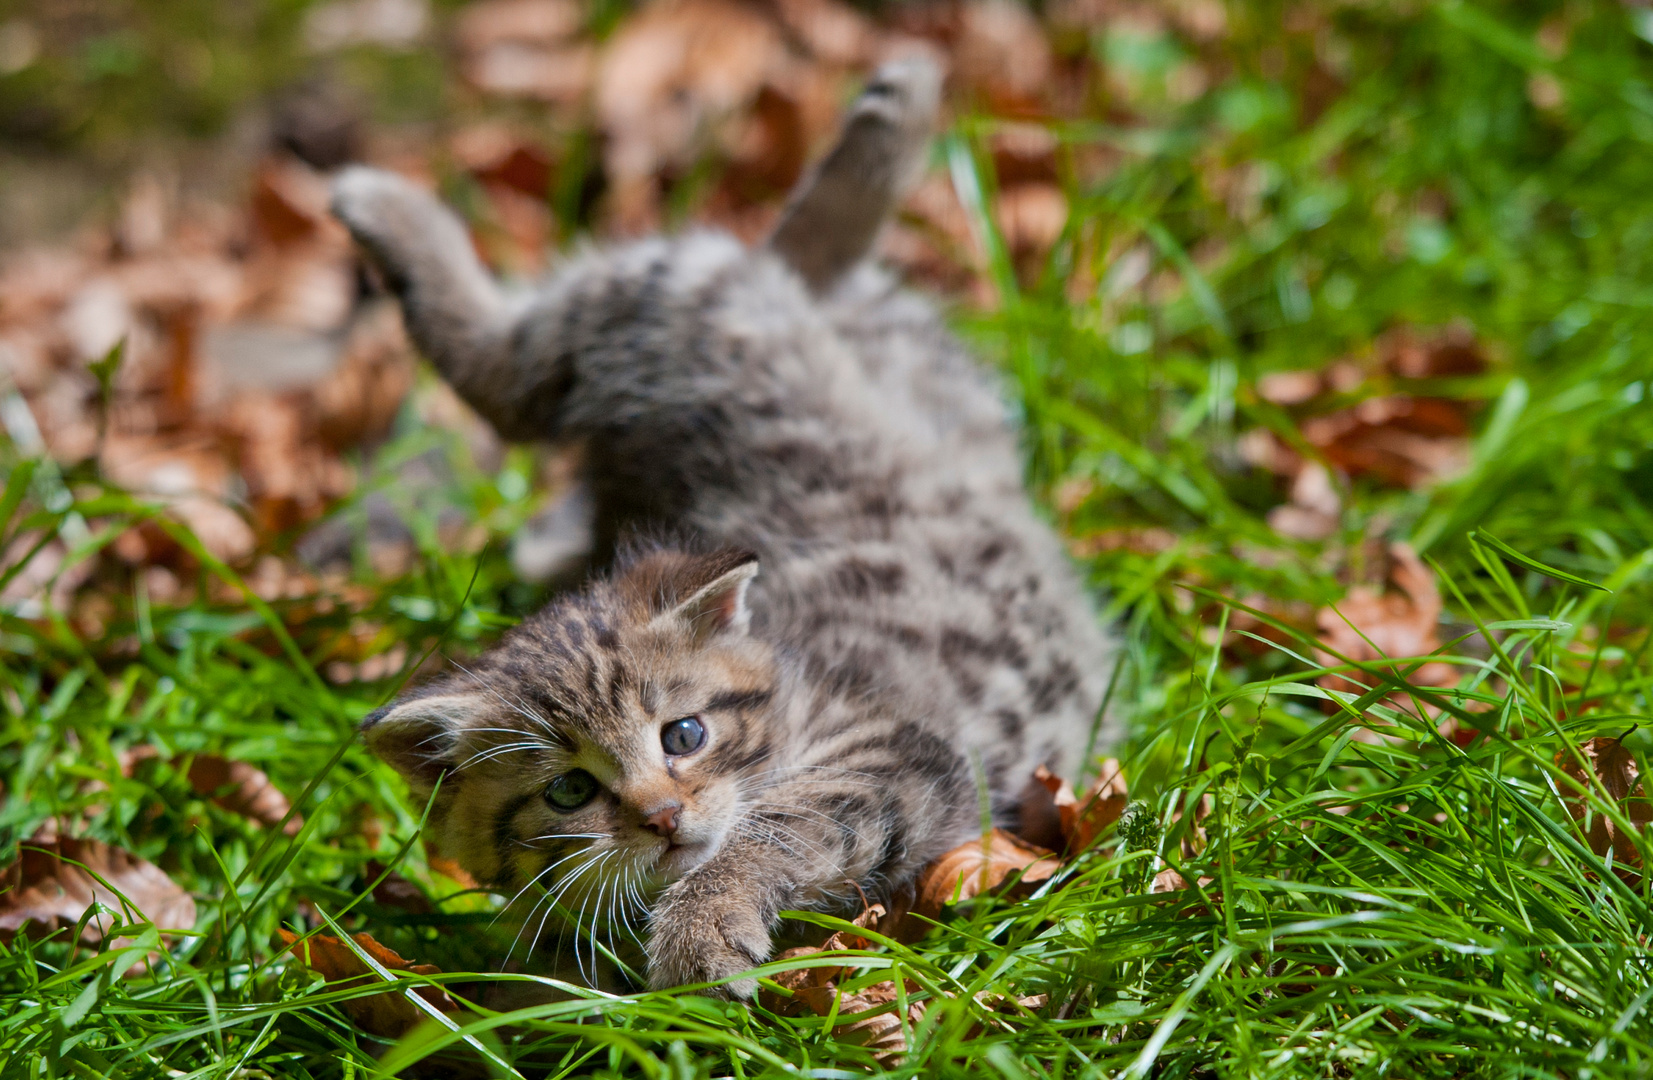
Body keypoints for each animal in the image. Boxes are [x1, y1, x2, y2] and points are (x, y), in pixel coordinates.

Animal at [330, 54, 1117, 992]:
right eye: (568, 791)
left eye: (685, 734)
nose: (663, 816)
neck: (794, 675)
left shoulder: (903, 752)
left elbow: (772, 826)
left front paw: (700, 930)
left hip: (684, 304)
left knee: (535, 357)